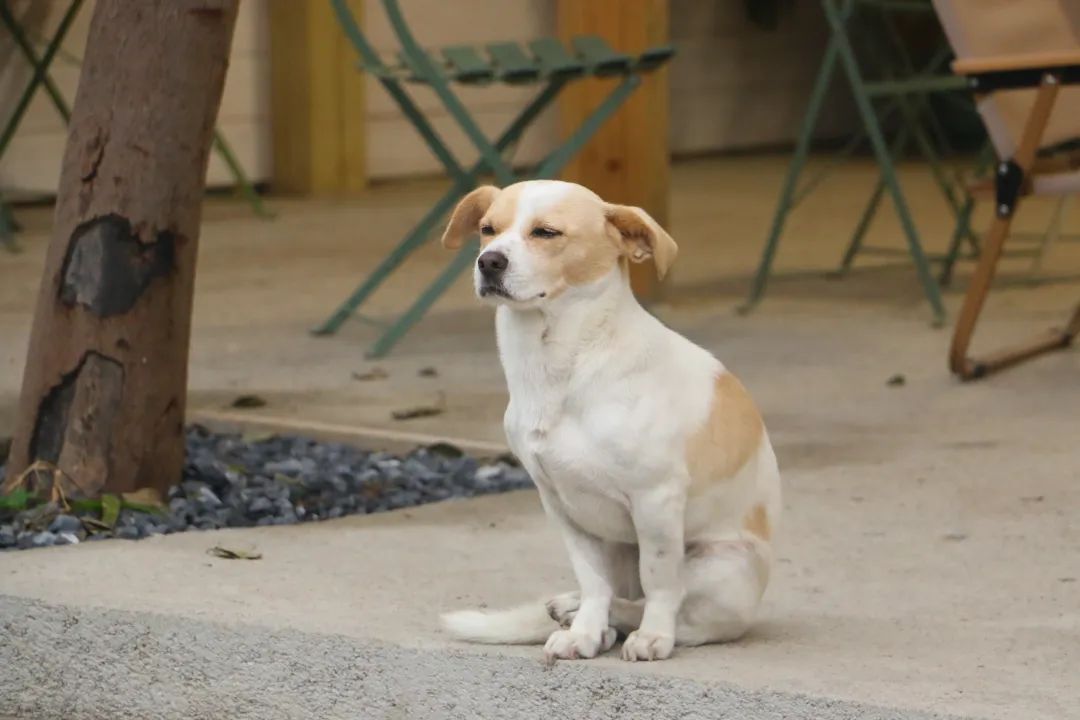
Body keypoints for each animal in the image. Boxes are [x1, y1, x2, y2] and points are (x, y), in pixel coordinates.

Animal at [438, 181, 786, 664]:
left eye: (546, 232)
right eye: (488, 229)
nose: (488, 261)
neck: (563, 364)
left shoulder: (656, 501)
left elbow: (661, 583)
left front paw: (653, 636)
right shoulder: (563, 507)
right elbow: (593, 581)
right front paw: (583, 632)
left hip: (721, 569)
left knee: (677, 608)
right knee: (616, 594)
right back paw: (581, 615)